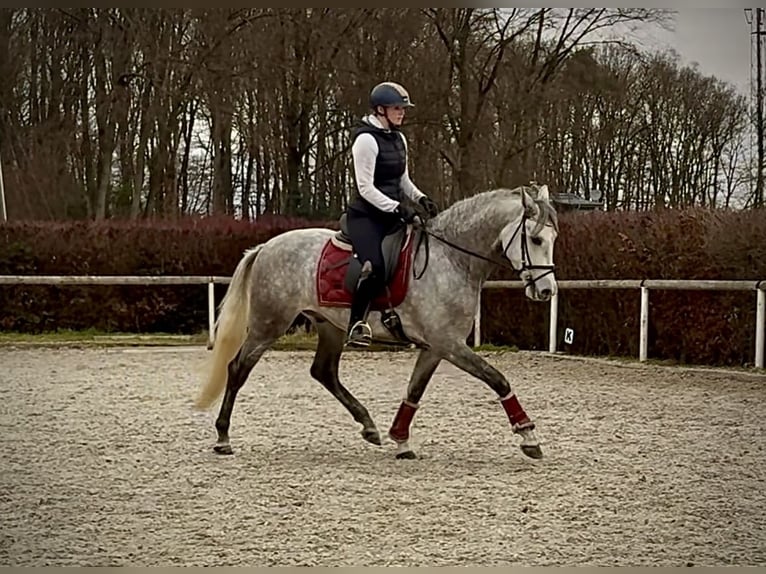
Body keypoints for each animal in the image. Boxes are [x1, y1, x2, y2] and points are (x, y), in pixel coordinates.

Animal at [194, 183, 559, 460]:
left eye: (553, 239)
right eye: (536, 239)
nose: (546, 290)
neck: (452, 260)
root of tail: (266, 246)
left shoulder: (436, 346)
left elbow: (414, 390)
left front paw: (400, 439)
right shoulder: (449, 344)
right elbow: (498, 379)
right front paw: (528, 435)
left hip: (330, 326)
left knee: (324, 372)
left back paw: (368, 426)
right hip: (268, 324)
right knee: (238, 368)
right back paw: (223, 437)